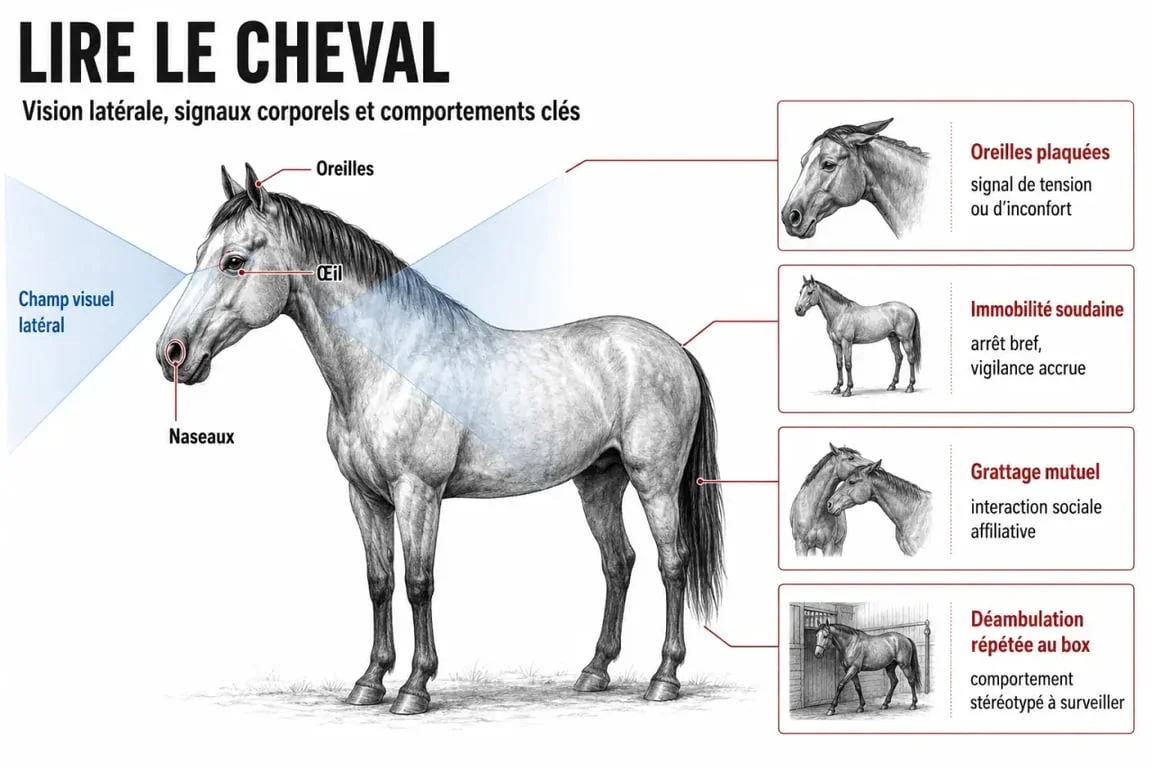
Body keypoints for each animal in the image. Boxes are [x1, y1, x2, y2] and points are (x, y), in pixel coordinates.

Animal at [155, 164, 725, 715]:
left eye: (233, 260)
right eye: (200, 253)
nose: (172, 353)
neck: (388, 364)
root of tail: (675, 349)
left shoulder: (418, 493)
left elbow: (418, 583)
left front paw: (414, 688)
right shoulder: (365, 498)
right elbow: (379, 582)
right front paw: (369, 682)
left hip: (654, 483)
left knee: (671, 562)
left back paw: (664, 679)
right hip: (599, 483)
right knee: (618, 563)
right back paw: (594, 672)